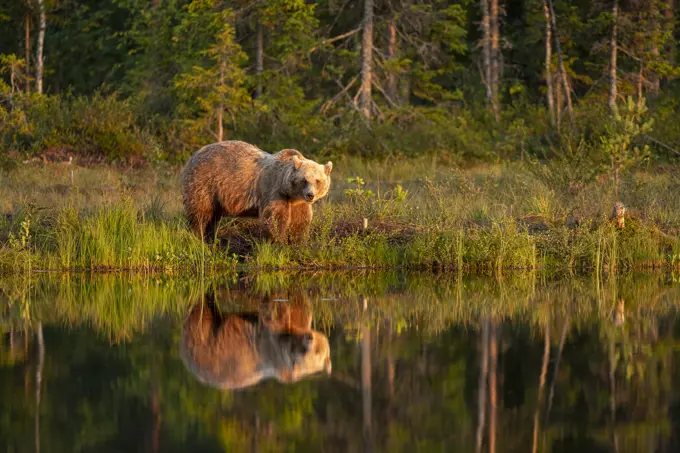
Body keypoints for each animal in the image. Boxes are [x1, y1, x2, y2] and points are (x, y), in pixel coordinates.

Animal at [179, 140, 330, 240]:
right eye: (304, 180)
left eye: (318, 180)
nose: (310, 195)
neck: (290, 193)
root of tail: (193, 155)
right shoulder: (274, 191)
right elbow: (275, 218)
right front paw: (279, 241)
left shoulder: (298, 202)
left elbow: (300, 221)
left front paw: (298, 241)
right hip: (204, 182)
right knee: (201, 213)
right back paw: (198, 236)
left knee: (213, 217)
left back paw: (210, 237)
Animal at [179, 294, 330, 388]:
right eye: (304, 351)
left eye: (317, 351)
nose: (309, 338)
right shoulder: (271, 342)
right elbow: (276, 312)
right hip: (205, 341)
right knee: (201, 313)